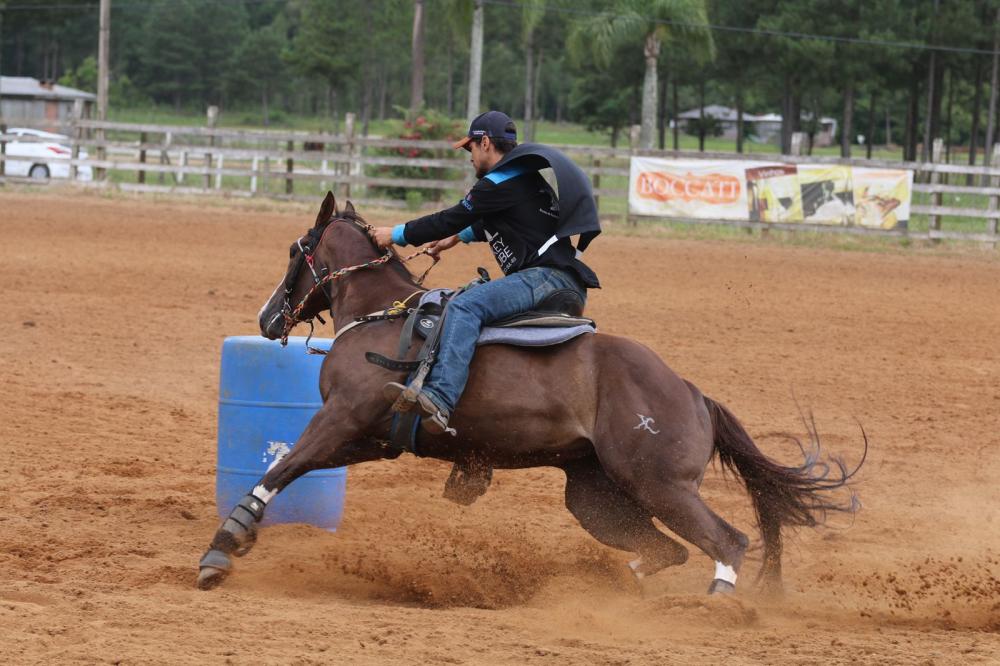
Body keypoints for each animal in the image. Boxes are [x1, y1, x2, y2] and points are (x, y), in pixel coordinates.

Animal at [196, 192, 862, 595]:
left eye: (295, 250)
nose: (266, 319)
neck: (385, 316)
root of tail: (692, 392)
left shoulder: (339, 418)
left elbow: (283, 467)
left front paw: (223, 547)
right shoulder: (372, 437)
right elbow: (294, 468)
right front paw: (237, 542)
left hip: (659, 484)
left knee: (727, 539)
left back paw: (718, 603)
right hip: (596, 496)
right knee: (664, 550)